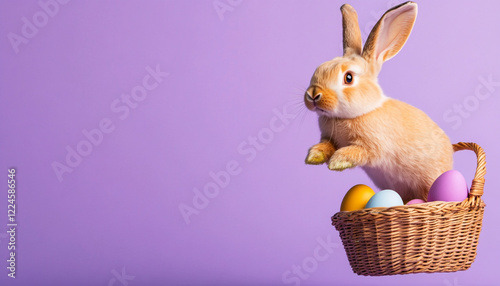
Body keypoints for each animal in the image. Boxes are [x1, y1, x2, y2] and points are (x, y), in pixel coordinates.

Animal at [304, 1, 454, 203]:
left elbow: (358, 152)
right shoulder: (328, 138)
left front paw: (337, 161)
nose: (313, 94)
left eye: (348, 78)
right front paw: (314, 156)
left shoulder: (373, 147)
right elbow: (325, 145)